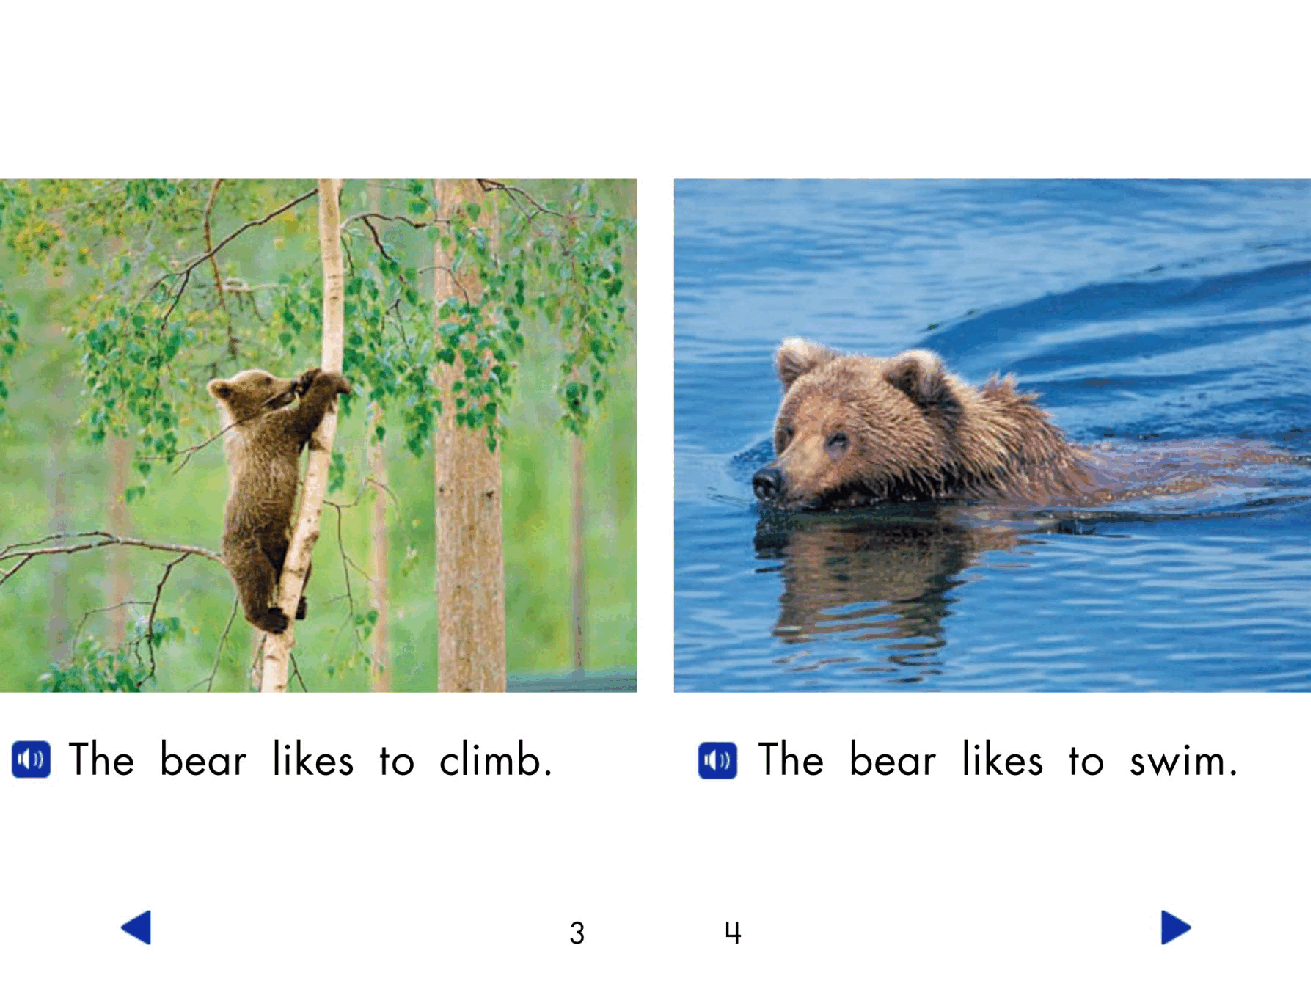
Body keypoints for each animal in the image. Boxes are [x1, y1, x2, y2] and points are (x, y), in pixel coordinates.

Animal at [207, 366, 352, 633]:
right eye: (266, 379)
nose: (291, 382)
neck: (253, 416)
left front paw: (309, 375)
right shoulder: (276, 429)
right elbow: (305, 417)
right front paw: (333, 380)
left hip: (282, 545)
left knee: (303, 567)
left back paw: (300, 604)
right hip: (248, 546)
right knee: (256, 579)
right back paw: (269, 617)